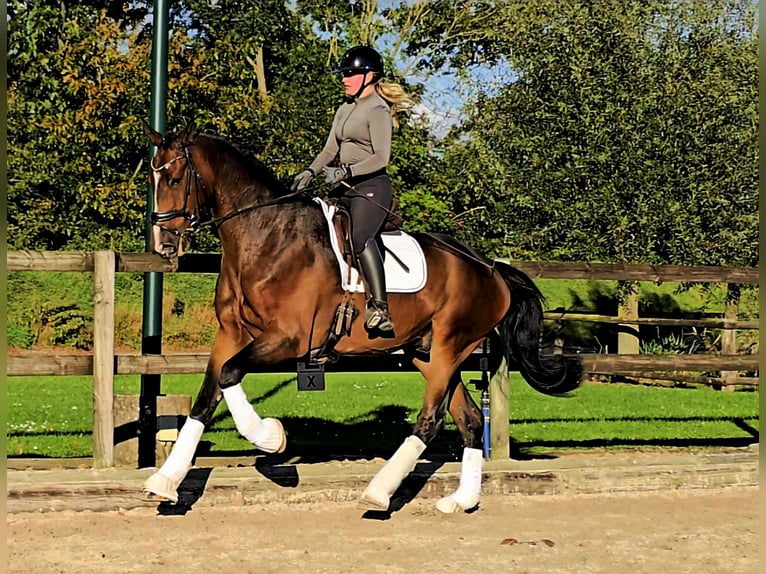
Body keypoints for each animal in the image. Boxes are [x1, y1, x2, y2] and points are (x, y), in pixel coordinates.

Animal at [141, 124, 584, 516]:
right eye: (153, 177)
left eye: (176, 177)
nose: (163, 242)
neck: (266, 236)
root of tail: (491, 268)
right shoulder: (231, 334)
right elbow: (207, 395)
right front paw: (164, 482)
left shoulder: (289, 338)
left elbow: (230, 373)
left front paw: (270, 437)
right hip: (430, 353)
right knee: (471, 419)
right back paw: (461, 500)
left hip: (450, 346)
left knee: (430, 420)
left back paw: (378, 492)